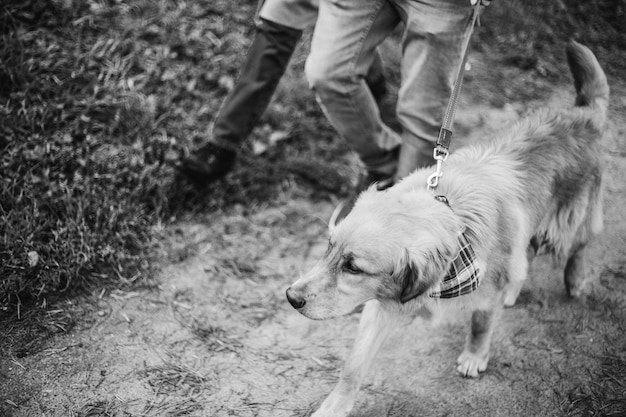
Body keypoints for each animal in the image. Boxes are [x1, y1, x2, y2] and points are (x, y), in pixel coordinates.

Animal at [286, 41, 608, 416]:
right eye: (328, 247)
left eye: (353, 268)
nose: (291, 297)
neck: (456, 220)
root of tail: (584, 116)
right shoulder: (382, 308)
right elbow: (354, 365)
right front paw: (335, 405)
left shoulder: (481, 294)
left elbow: (481, 323)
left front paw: (474, 355)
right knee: (523, 260)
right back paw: (514, 289)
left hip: (571, 222)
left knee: (580, 247)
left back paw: (574, 282)